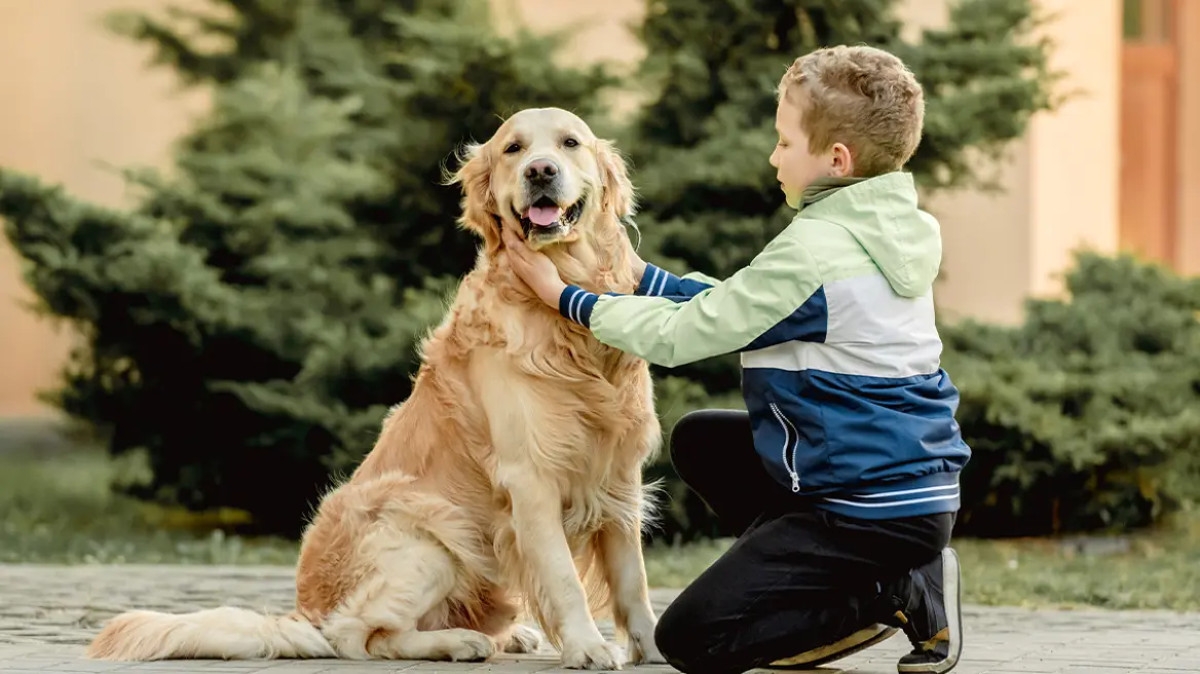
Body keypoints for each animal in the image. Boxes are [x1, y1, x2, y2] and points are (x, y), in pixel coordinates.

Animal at [84, 107, 667, 662]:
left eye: (570, 143)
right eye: (513, 148)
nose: (540, 171)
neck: (563, 307)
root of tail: (305, 610)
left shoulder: (618, 475)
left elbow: (634, 582)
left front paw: (656, 649)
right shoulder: (530, 476)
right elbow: (564, 578)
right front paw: (588, 647)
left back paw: (505, 636)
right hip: (429, 531)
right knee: (361, 635)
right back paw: (457, 643)